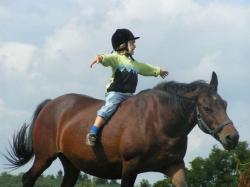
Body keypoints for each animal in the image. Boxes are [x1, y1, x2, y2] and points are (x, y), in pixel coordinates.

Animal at [5, 71, 238, 186]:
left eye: (225, 104)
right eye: (207, 108)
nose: (232, 137)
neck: (159, 122)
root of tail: (50, 104)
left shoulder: (174, 166)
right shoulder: (130, 166)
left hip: (71, 164)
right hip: (45, 156)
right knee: (28, 178)